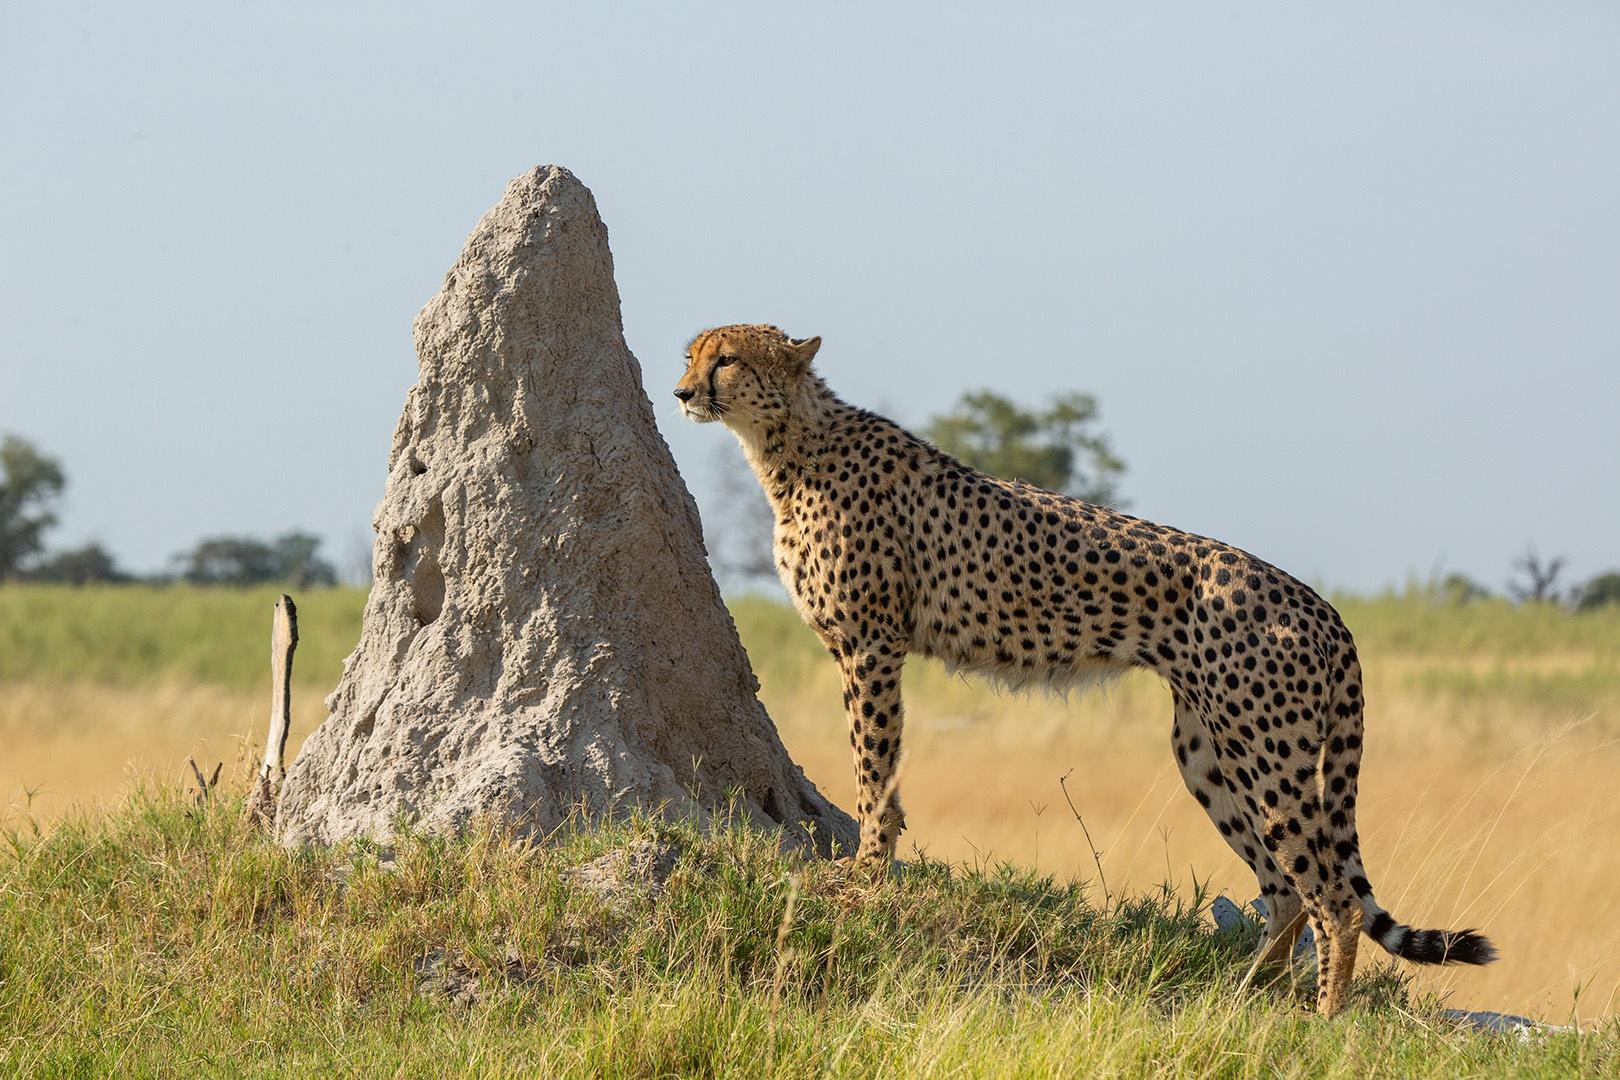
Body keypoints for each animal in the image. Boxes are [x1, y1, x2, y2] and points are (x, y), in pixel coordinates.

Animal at [670, 325, 1490, 1016]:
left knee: (1332, 897)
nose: (679, 393)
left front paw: (866, 872)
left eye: (727, 360)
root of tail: (1318, 603)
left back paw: (1322, 1022)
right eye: (691, 355)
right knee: (1285, 889)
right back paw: (1237, 999)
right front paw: (872, 863)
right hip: (1208, 751)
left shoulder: (872, 645)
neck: (790, 443)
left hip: (1268, 753)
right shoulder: (867, 646)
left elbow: (874, 768)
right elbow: (880, 770)